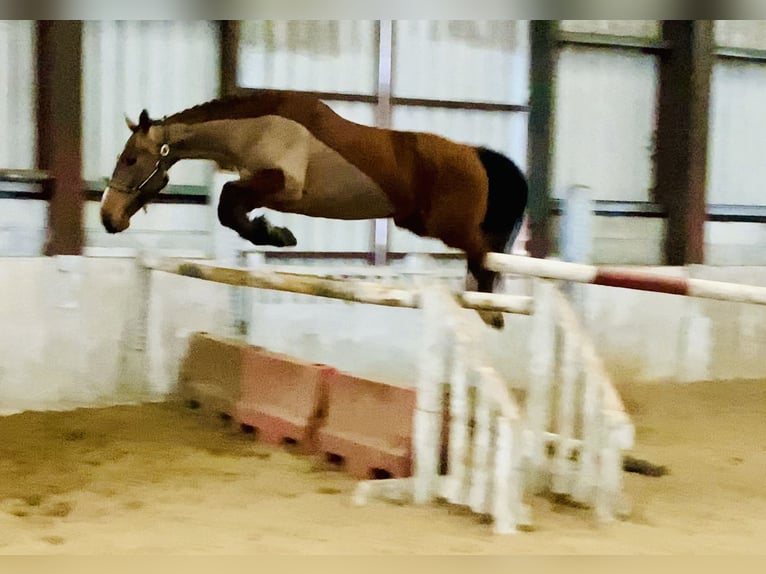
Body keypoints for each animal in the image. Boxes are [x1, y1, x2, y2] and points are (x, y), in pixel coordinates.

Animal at [100, 89, 528, 328]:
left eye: (132, 159)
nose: (108, 218)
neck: (254, 128)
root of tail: (476, 155)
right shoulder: (263, 187)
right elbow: (230, 206)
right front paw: (273, 234)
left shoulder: (283, 187)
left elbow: (227, 201)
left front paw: (275, 235)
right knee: (485, 253)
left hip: (445, 225)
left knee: (483, 253)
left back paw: (490, 310)